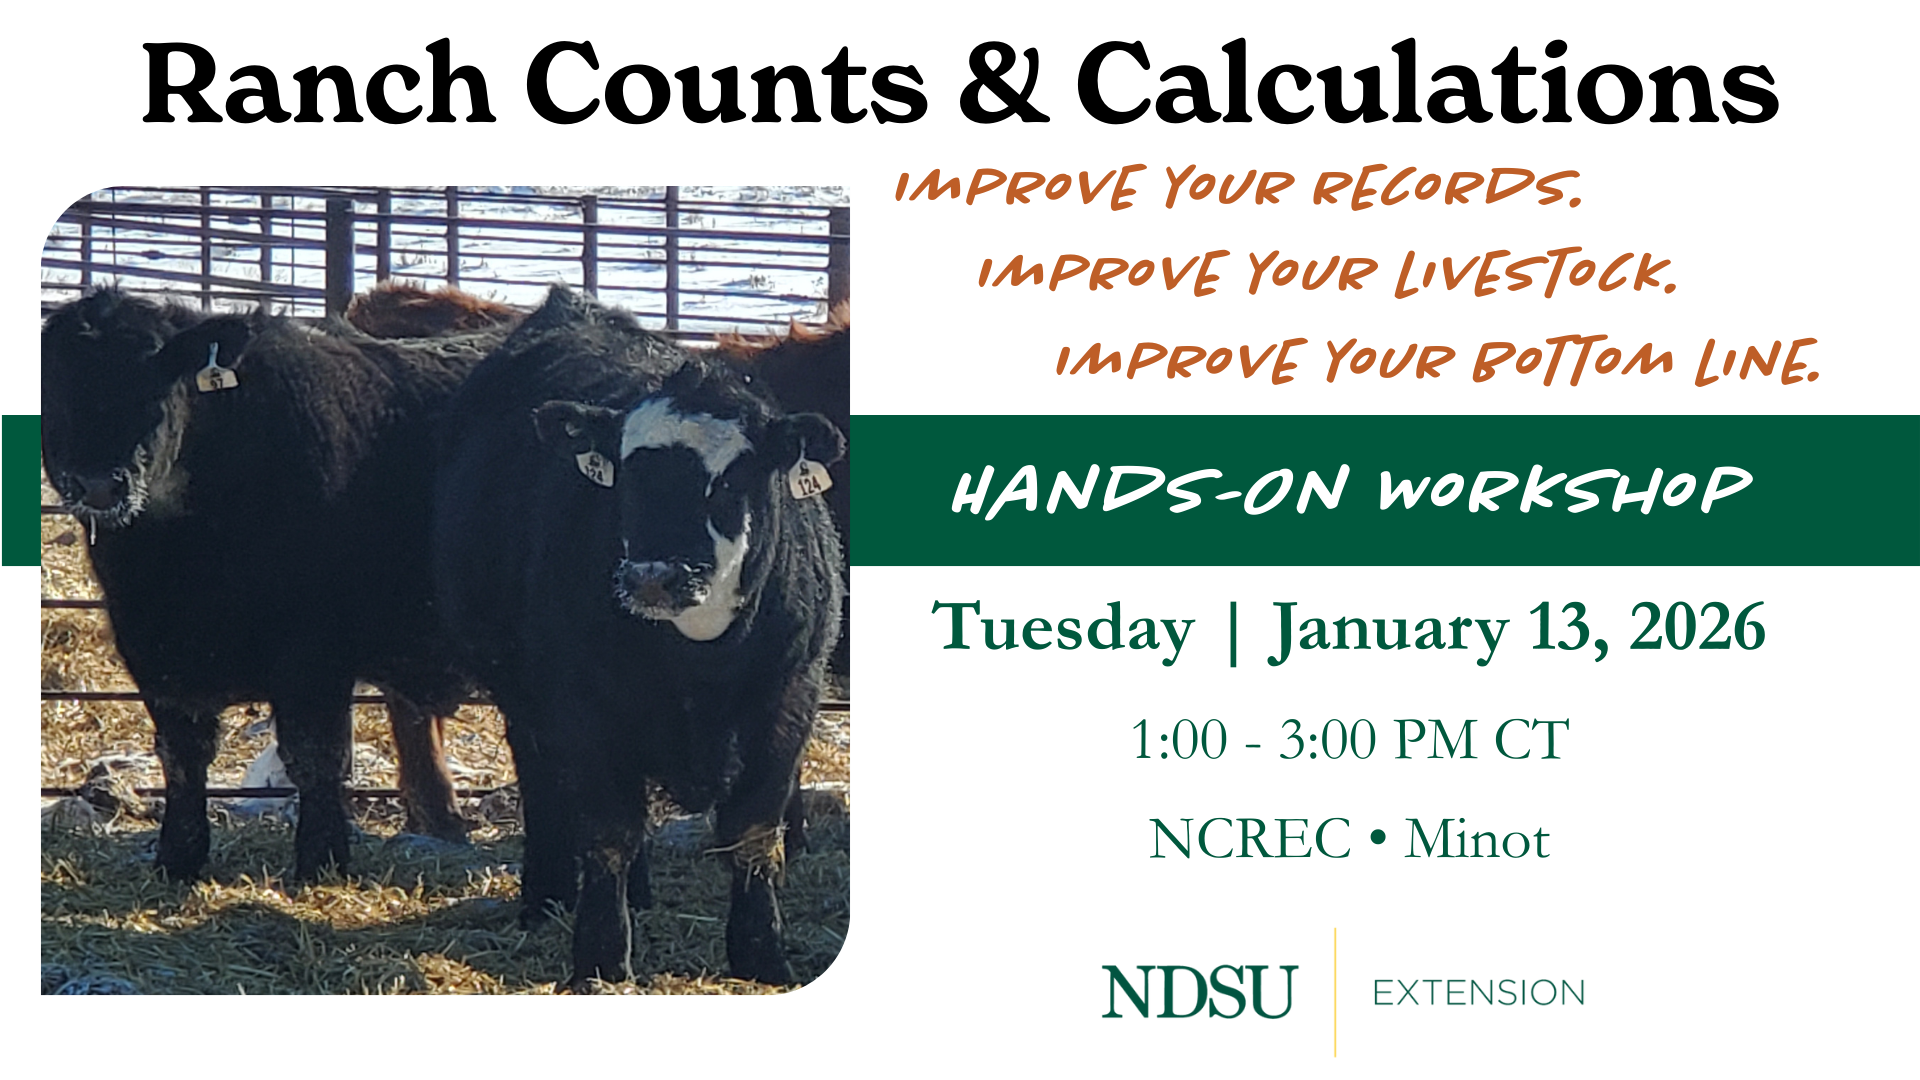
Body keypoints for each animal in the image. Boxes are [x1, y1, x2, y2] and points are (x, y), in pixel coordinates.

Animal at [40, 288, 502, 880]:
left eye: (154, 382)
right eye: (55, 388)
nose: (100, 484)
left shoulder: (314, 651)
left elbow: (314, 756)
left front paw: (321, 862)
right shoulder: (151, 648)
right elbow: (182, 755)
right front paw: (177, 858)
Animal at [432, 287, 844, 987]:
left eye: (734, 477)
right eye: (624, 475)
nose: (654, 575)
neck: (698, 658)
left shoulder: (788, 696)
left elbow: (754, 829)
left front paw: (761, 955)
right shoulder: (583, 706)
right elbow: (607, 832)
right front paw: (600, 959)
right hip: (522, 694)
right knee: (543, 782)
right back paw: (547, 894)